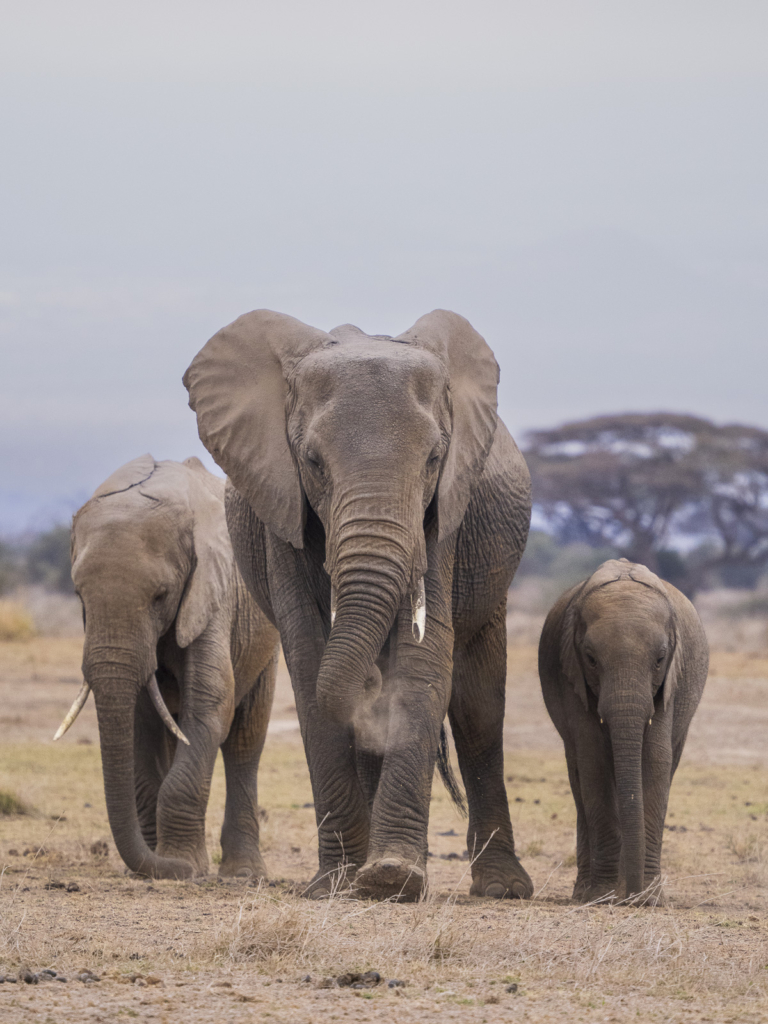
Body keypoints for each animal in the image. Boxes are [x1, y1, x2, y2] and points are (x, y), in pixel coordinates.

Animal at [60, 454, 280, 880]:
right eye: (79, 594)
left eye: (161, 596)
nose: (172, 870)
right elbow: (141, 718)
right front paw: (162, 865)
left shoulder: (212, 593)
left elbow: (210, 705)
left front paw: (184, 865)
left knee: (246, 738)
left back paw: (244, 874)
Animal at [186, 307, 536, 901]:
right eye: (312, 462)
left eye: (434, 459)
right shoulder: (281, 508)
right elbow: (309, 663)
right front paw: (337, 884)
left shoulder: (446, 514)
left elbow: (424, 659)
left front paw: (393, 878)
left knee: (479, 710)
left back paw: (500, 887)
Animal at [540, 561, 708, 905]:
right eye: (591, 659)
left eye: (660, 659)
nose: (633, 895)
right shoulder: (570, 676)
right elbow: (593, 762)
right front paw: (602, 896)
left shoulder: (670, 683)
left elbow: (656, 761)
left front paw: (650, 898)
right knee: (578, 773)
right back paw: (586, 892)